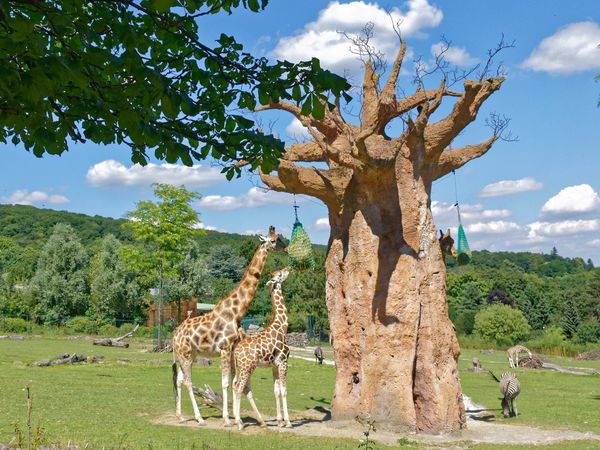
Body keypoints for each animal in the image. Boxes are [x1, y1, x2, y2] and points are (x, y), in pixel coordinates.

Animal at [171, 227, 284, 428]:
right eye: (274, 240)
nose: (285, 248)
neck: (237, 312)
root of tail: (175, 334)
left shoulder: (232, 349)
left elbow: (234, 382)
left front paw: (237, 417)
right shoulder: (224, 348)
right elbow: (225, 382)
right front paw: (227, 419)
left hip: (189, 354)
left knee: (179, 380)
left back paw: (181, 416)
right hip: (185, 354)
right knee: (188, 381)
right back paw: (199, 418)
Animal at [232, 266, 292, 430]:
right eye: (280, 274)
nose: (289, 268)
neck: (282, 327)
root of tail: (235, 352)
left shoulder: (274, 365)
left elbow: (276, 391)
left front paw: (280, 421)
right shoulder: (283, 362)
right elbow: (284, 390)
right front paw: (288, 422)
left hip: (242, 368)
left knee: (240, 387)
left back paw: (255, 421)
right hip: (247, 368)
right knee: (239, 388)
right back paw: (239, 423)